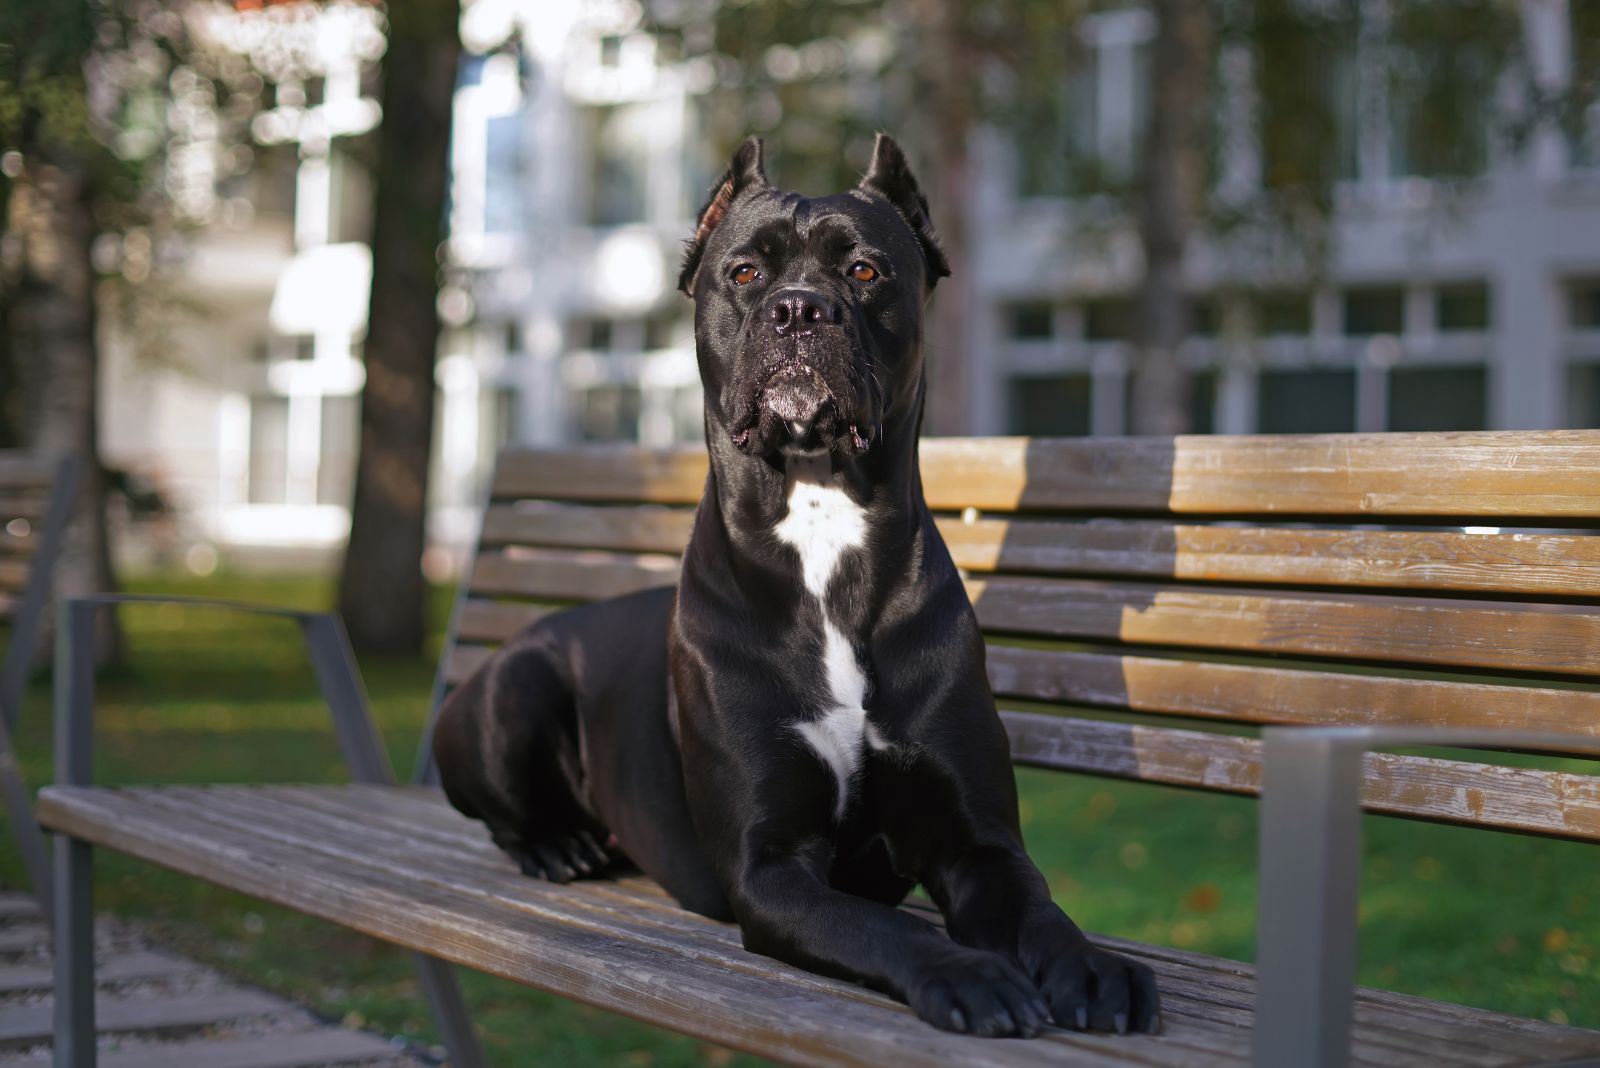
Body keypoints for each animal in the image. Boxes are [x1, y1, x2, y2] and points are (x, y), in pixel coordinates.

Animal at [435, 131, 1164, 1036]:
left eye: (865, 270)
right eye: (747, 271)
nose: (798, 310)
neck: (821, 527)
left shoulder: (977, 843)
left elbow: (1038, 908)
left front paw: (1092, 967)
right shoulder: (771, 867)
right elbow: (884, 927)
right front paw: (969, 974)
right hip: (514, 689)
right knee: (500, 813)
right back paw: (555, 845)